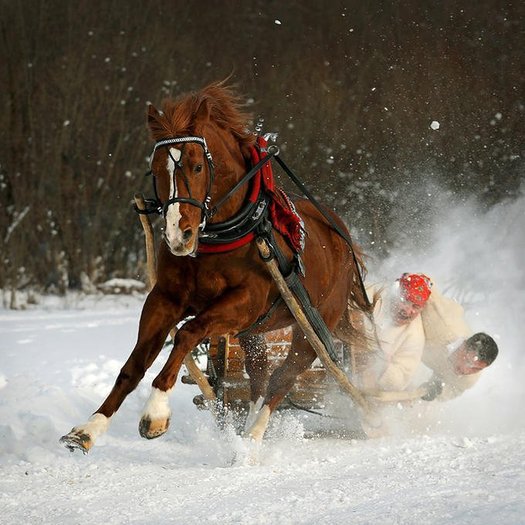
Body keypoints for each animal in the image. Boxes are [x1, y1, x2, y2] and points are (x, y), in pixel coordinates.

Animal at [61, 81, 370, 450]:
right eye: (155, 169)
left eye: (197, 167)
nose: (178, 235)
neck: (218, 237)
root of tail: (344, 238)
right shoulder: (165, 299)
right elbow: (134, 364)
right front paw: (89, 428)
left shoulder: (243, 302)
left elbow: (188, 333)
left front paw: (156, 412)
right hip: (254, 332)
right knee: (259, 376)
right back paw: (243, 431)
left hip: (312, 327)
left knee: (283, 379)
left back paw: (252, 438)